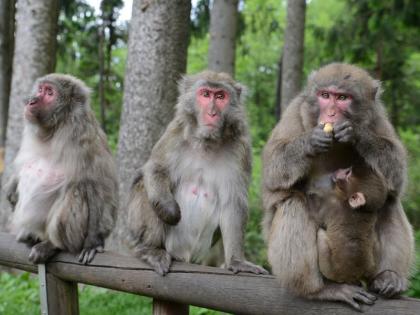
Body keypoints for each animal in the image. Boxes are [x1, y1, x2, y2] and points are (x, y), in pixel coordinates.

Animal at [6, 75, 118, 266]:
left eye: (49, 93)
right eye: (41, 89)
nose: (31, 100)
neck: (55, 128)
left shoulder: (84, 138)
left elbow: (101, 188)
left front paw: (94, 243)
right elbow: (22, 167)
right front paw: (12, 185)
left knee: (79, 189)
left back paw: (54, 245)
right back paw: (29, 235)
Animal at [126, 71, 268, 276]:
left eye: (220, 96)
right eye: (206, 94)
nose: (212, 113)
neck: (206, 142)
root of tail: (183, 255)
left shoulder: (240, 149)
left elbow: (233, 202)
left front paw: (237, 261)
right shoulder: (175, 132)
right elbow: (155, 168)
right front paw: (169, 210)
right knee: (143, 185)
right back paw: (150, 249)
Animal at [262, 62, 414, 312]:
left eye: (342, 98)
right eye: (325, 96)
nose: (331, 113)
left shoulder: (377, 117)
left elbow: (397, 174)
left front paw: (356, 134)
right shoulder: (295, 110)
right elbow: (274, 169)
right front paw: (310, 141)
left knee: (390, 201)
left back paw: (389, 277)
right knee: (293, 203)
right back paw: (319, 291)